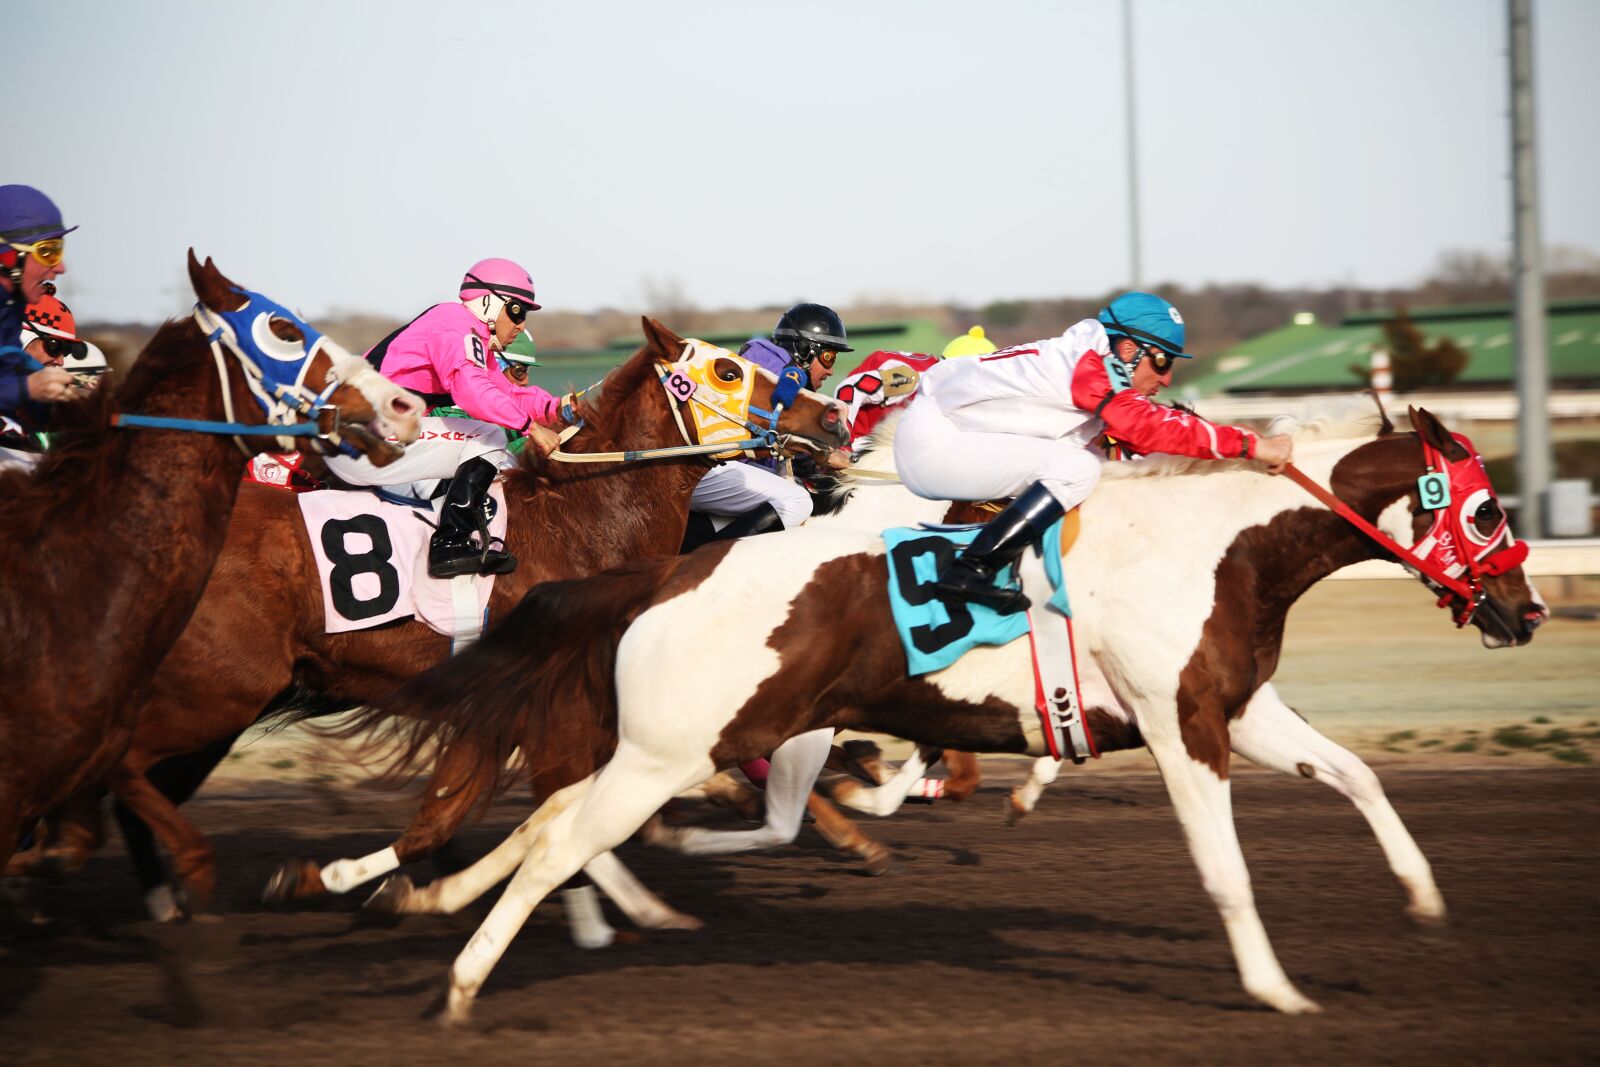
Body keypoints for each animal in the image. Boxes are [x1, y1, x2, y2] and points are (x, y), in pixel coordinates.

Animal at [21, 318, 849, 918]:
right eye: (730, 370)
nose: (836, 419)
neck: (581, 518)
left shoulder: (500, 702)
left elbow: (458, 816)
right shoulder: (528, 700)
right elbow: (489, 814)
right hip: (219, 689)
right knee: (116, 759)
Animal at [332, 404, 1544, 1023]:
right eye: (1487, 507)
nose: (1525, 610)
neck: (1219, 547)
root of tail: (664, 572)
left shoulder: (1235, 707)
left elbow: (1357, 773)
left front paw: (1424, 898)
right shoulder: (1180, 728)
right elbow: (1225, 869)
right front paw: (1275, 986)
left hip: (669, 741)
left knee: (550, 823)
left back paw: (418, 895)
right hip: (672, 745)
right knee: (557, 842)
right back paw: (462, 978)